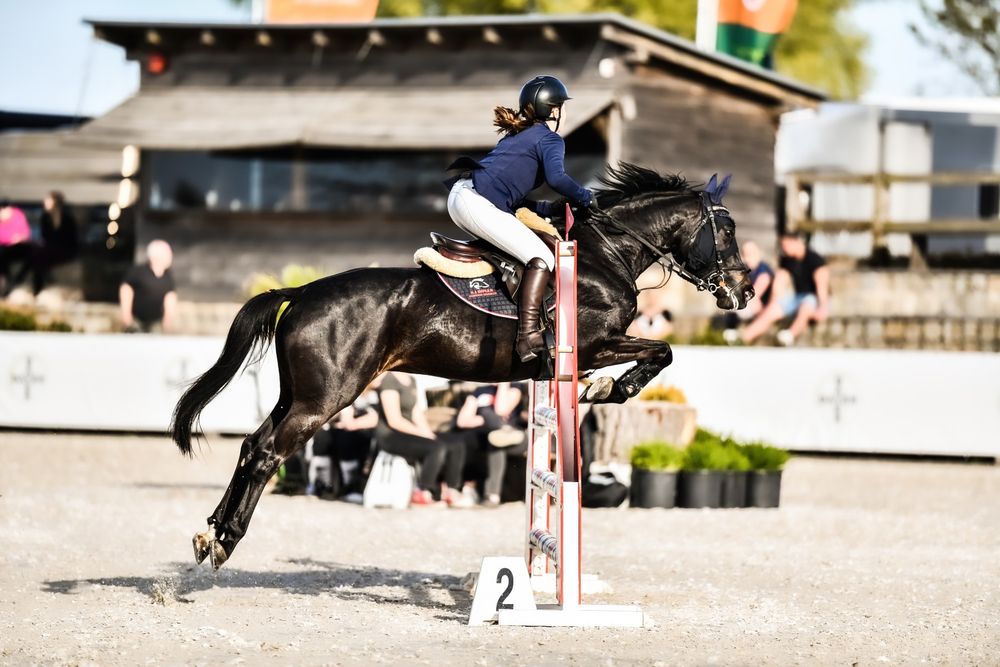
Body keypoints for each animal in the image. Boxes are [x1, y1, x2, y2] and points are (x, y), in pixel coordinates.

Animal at [170, 163, 752, 568]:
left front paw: (602, 389)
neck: (603, 256)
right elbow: (661, 350)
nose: (744, 291)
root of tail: (302, 292)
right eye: (726, 230)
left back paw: (210, 532)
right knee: (268, 452)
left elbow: (660, 351)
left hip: (298, 393)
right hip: (325, 398)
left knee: (252, 445)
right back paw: (226, 541)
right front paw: (608, 389)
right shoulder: (594, 344)